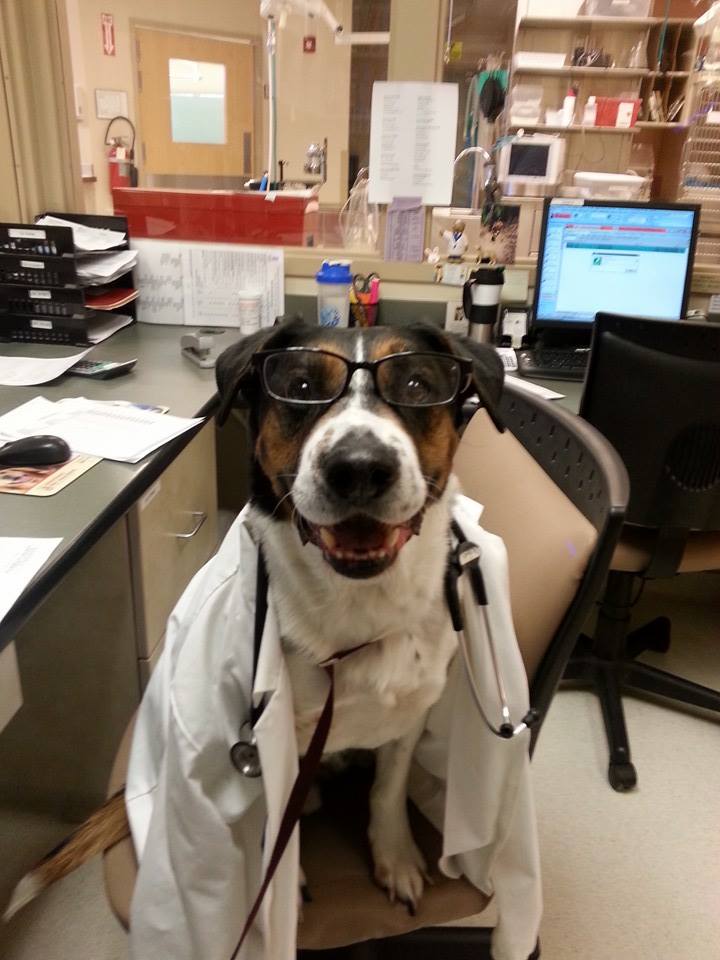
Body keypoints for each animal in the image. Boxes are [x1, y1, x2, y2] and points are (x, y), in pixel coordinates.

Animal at [2, 316, 504, 924]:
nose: (359, 469)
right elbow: (276, 816)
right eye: (302, 387)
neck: (355, 607)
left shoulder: (408, 714)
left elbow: (387, 791)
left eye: (416, 386)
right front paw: (281, 890)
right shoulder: (269, 744)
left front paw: (396, 858)